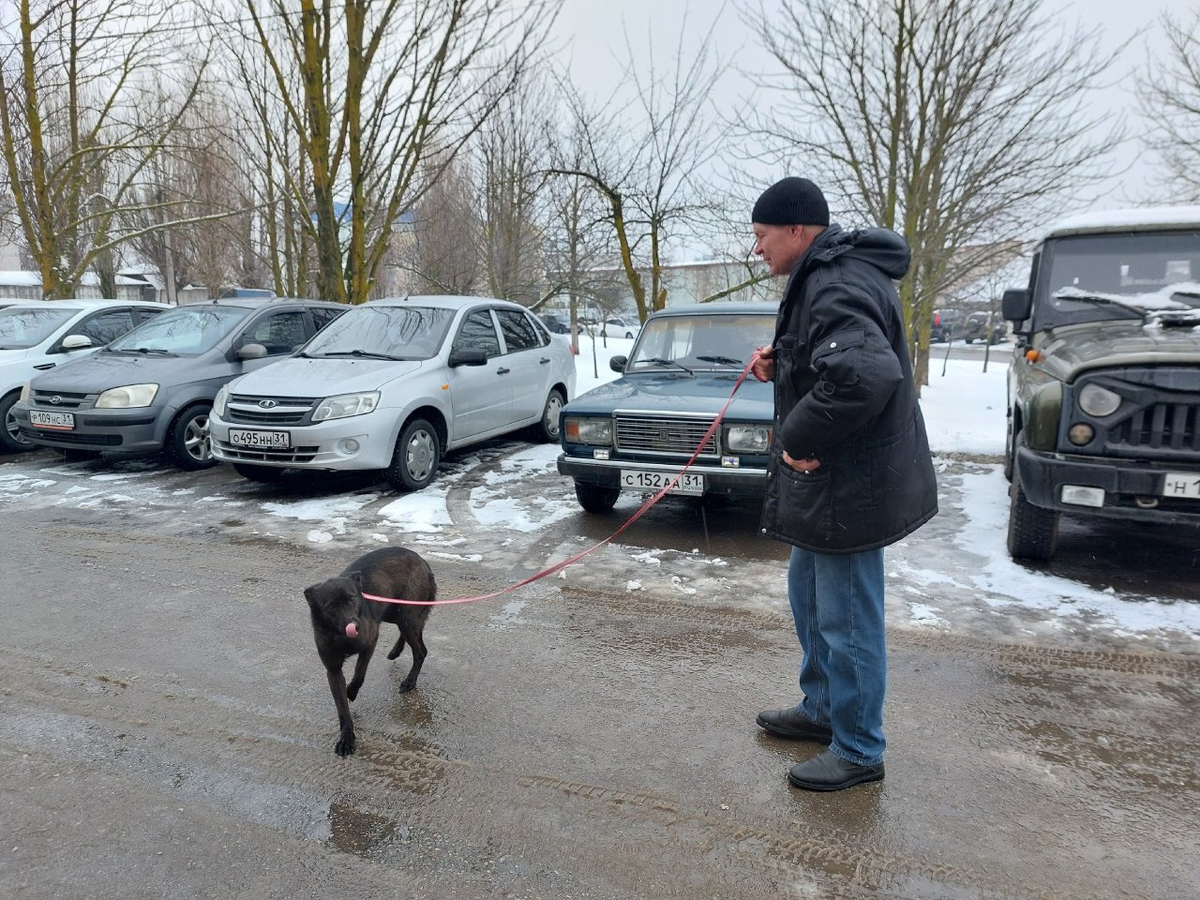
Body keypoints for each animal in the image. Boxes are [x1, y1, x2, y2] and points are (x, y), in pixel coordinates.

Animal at [304, 547, 436, 758]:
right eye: (330, 606)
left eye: (351, 598)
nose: (355, 626)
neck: (341, 636)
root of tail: (421, 559)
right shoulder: (333, 670)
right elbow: (342, 708)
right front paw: (346, 738)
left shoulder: (370, 642)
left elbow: (359, 674)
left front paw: (351, 691)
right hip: (395, 613)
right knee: (414, 634)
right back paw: (395, 651)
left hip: (406, 613)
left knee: (421, 650)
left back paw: (410, 681)